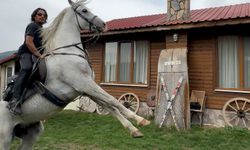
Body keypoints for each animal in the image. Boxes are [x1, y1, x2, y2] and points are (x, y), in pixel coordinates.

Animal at [0, 0, 149, 149]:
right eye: (84, 11)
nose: (103, 24)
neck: (68, 53)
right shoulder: (84, 83)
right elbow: (113, 100)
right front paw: (141, 120)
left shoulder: (86, 89)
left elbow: (110, 106)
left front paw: (134, 130)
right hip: (5, 138)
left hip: (31, 134)